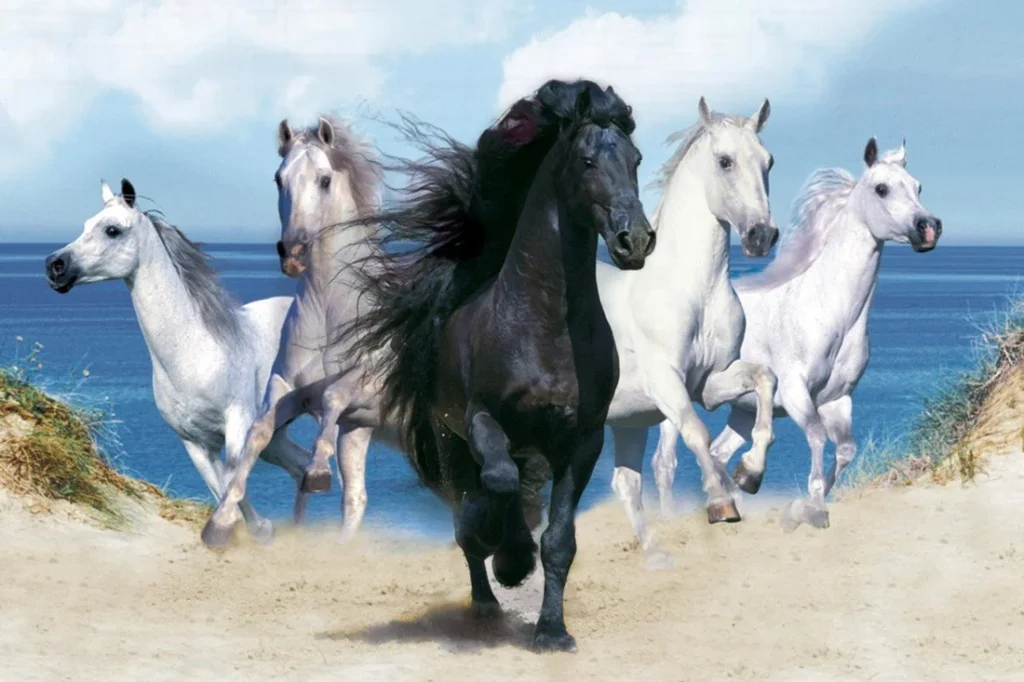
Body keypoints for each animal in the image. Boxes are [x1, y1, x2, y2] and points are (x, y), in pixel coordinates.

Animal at [44, 180, 313, 539]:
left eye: (112, 230)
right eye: (86, 224)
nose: (54, 266)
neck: (194, 351)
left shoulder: (238, 427)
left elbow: (234, 484)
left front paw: (258, 530)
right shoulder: (195, 443)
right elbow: (222, 489)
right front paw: (249, 532)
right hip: (276, 434)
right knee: (303, 466)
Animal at [200, 115, 386, 546]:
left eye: (324, 180)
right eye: (278, 178)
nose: (294, 254)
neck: (331, 309)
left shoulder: (364, 381)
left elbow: (334, 396)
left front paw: (316, 472)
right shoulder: (290, 389)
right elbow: (258, 431)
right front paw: (219, 523)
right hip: (361, 431)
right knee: (356, 498)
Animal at [339, 79, 655, 652]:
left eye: (636, 159)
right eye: (587, 159)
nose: (635, 239)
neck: (546, 327)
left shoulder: (582, 441)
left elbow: (559, 541)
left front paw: (552, 631)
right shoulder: (483, 420)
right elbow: (498, 485)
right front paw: (508, 557)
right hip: (452, 442)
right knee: (474, 505)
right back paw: (488, 593)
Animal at [603, 97, 779, 563]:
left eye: (769, 161)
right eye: (724, 161)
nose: (762, 235)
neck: (692, 290)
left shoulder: (711, 382)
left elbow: (765, 378)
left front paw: (750, 473)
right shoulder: (666, 381)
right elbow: (696, 432)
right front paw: (721, 503)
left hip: (626, 421)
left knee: (625, 482)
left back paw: (655, 555)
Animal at [651, 138, 942, 531]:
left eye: (918, 186)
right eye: (881, 188)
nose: (928, 227)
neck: (829, 312)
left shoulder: (838, 400)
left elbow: (845, 451)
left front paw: (803, 502)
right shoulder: (795, 393)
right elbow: (818, 438)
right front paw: (811, 508)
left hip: (741, 409)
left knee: (718, 451)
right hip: (675, 401)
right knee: (665, 462)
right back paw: (672, 517)